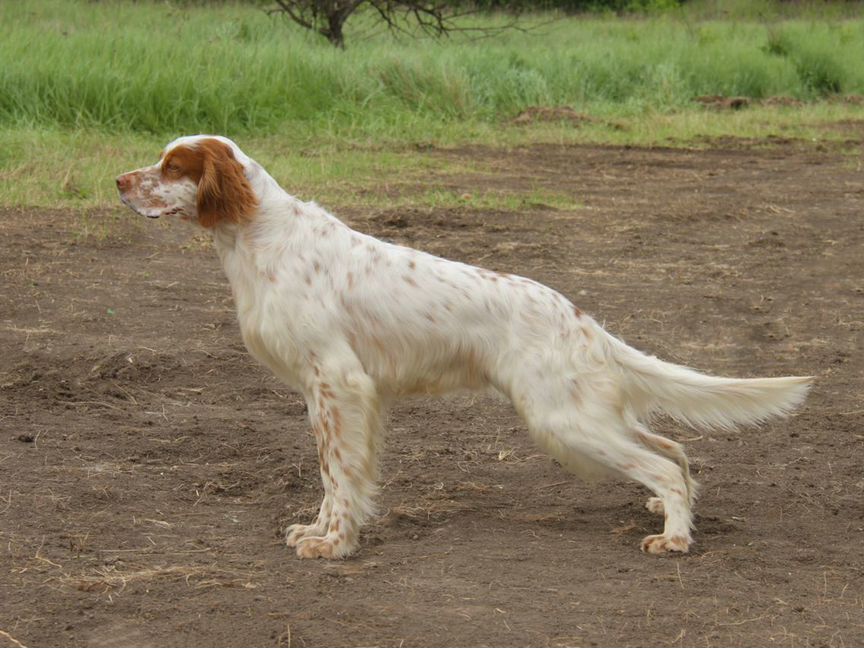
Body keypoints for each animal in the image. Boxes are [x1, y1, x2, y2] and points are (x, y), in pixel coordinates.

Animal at [118, 135, 812, 556]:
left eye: (172, 166)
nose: (119, 180)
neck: (260, 237)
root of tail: (581, 318)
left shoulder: (338, 384)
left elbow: (338, 473)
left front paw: (334, 544)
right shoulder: (332, 394)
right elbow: (332, 476)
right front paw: (317, 528)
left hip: (562, 420)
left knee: (666, 463)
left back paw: (674, 539)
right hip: (582, 414)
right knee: (674, 449)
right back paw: (673, 515)